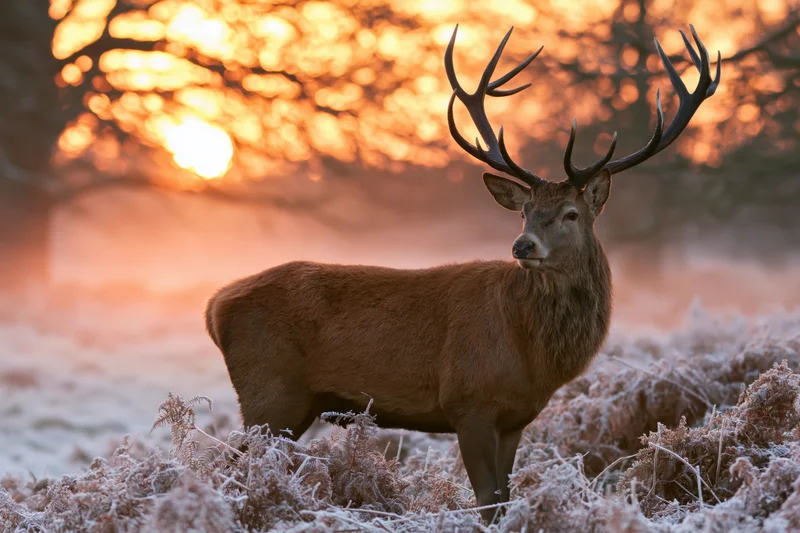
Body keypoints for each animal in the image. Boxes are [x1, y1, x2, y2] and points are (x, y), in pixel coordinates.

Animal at [205, 25, 720, 523]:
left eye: (571, 213)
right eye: (525, 212)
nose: (522, 246)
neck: (533, 354)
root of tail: (215, 306)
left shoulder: (515, 418)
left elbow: (505, 497)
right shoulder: (468, 402)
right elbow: (487, 500)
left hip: (293, 403)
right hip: (270, 392)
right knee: (225, 467)